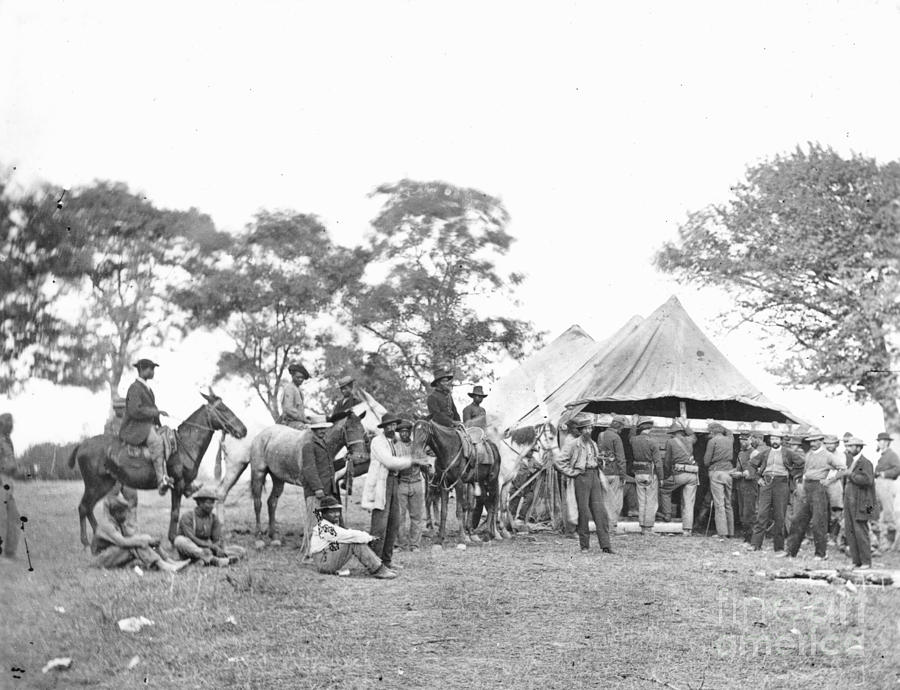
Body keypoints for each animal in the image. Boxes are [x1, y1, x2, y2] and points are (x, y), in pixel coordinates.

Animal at [68, 390, 248, 544]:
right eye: (223, 409)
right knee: (83, 507)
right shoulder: (178, 485)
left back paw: (98, 535)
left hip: (104, 484)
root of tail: (82, 444)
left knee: (88, 508)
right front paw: (173, 540)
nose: (243, 430)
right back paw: (86, 542)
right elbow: (175, 513)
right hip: (94, 485)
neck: (184, 445)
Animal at [217, 408, 370, 536]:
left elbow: (335, 503)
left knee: (272, 502)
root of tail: (259, 436)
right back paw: (258, 533)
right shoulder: (310, 485)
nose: (360, 457)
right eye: (348, 429)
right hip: (256, 473)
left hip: (278, 479)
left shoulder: (331, 480)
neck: (320, 442)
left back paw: (273, 535)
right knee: (256, 502)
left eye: (363, 430)